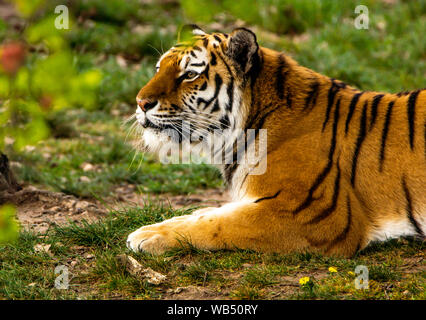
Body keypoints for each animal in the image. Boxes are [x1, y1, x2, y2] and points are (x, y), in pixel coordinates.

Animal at [125, 26, 424, 258]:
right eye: (158, 68)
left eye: (189, 75)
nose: (140, 103)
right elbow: (209, 213)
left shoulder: (313, 214)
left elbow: (217, 225)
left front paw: (148, 235)